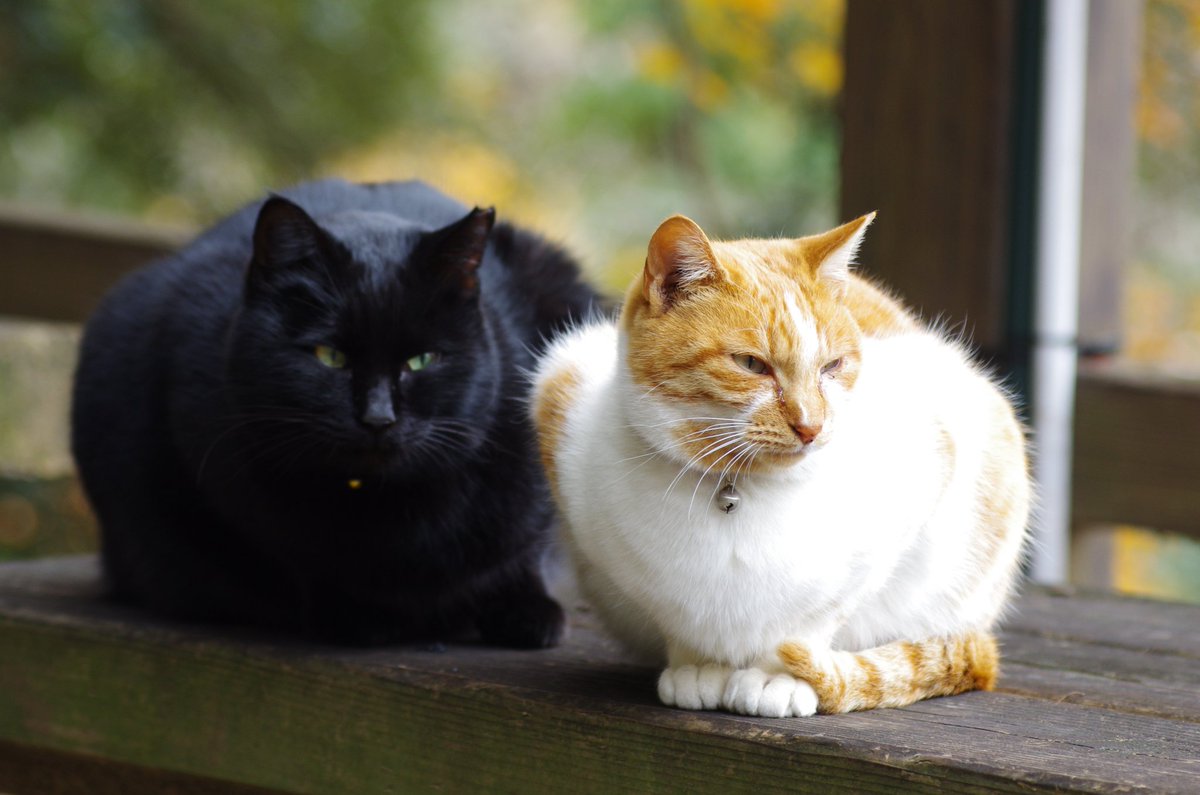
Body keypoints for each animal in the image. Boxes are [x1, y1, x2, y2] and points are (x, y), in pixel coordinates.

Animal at [72, 180, 597, 648]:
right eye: (330, 356)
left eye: (421, 360)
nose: (378, 418)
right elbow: (301, 560)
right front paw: (361, 615)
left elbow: (524, 548)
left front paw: (527, 610)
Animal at [535, 214, 1032, 720]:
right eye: (751, 364)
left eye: (832, 367)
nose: (811, 426)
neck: (737, 487)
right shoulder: (558, 386)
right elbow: (681, 622)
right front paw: (699, 666)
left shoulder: (931, 460)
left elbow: (812, 622)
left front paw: (781, 677)